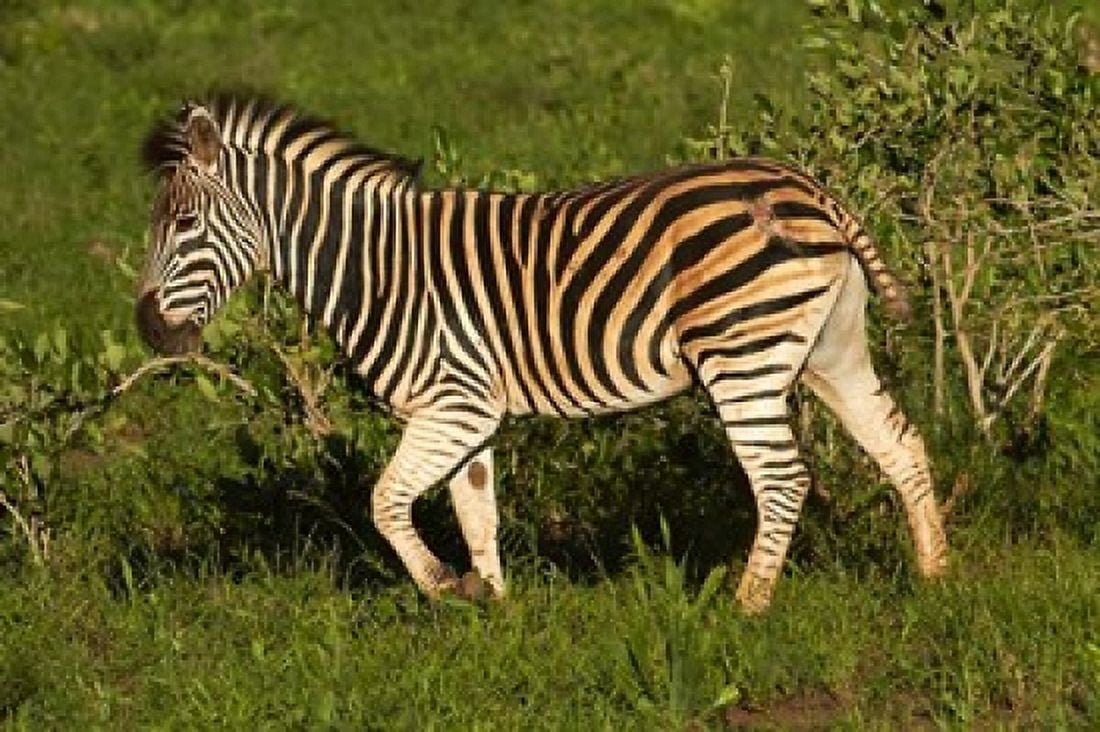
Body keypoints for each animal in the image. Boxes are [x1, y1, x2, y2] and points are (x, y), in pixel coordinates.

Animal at [136, 97, 948, 613]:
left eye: (184, 225)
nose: (149, 332)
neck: (378, 265)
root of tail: (809, 188)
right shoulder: (469, 415)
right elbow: (476, 514)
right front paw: (496, 614)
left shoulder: (456, 405)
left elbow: (385, 502)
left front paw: (446, 589)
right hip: (830, 351)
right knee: (901, 444)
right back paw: (937, 577)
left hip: (743, 354)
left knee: (782, 480)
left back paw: (747, 609)